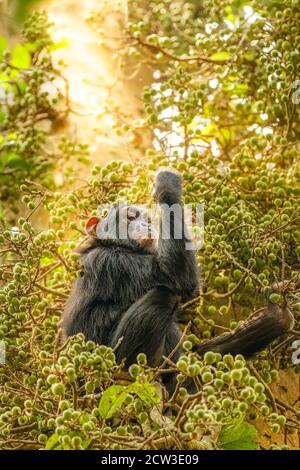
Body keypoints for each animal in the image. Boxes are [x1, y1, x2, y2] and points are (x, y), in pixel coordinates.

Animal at [62, 171, 294, 392]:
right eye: (130, 216)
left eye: (146, 219)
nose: (145, 224)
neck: (112, 244)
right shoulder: (115, 263)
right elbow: (173, 275)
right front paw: (167, 183)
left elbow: (196, 356)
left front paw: (276, 315)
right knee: (163, 295)